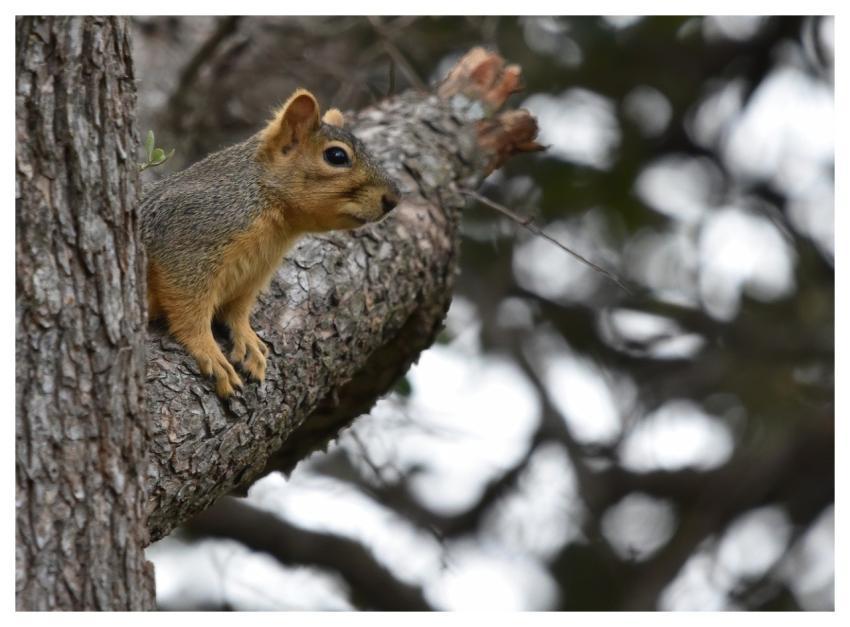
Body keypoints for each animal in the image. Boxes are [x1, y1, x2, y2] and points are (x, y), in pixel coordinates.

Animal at [140, 88, 401, 398]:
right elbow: (188, 308)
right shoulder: (187, 236)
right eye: (336, 156)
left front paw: (247, 337)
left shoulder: (252, 275)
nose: (394, 199)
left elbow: (237, 311)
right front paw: (208, 350)